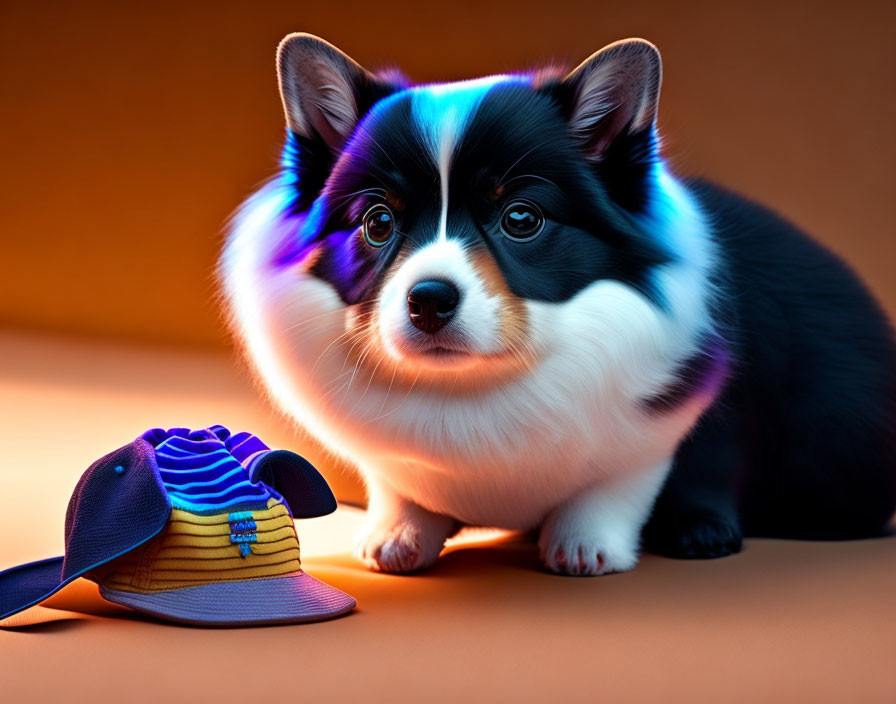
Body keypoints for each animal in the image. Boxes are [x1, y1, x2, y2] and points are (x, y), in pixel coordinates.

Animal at [219, 33, 896, 576]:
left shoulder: (653, 434)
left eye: (522, 218)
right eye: (378, 223)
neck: (474, 383)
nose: (428, 300)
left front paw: (584, 547)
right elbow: (400, 487)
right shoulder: (392, 463)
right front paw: (397, 536)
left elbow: (616, 486)